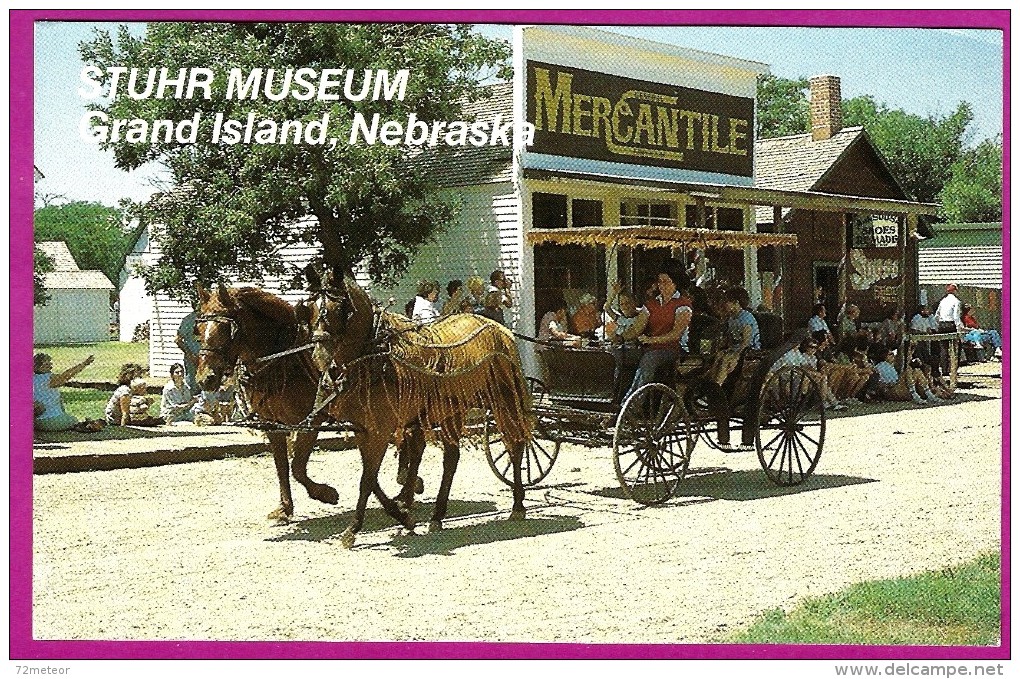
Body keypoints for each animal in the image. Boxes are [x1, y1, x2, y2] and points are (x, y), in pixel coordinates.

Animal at [191, 279, 410, 521]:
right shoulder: (272, 424)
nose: (205, 378)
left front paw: (325, 493)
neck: (283, 359)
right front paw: (285, 507)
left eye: (226, 330)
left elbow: (297, 466)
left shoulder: (311, 421)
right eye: (198, 331)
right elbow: (281, 466)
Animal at [297, 267, 530, 546]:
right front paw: (402, 513)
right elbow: (371, 478)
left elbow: (367, 479)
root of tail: (500, 330)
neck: (375, 354)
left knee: (515, 446)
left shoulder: (380, 430)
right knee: (451, 459)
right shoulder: (364, 428)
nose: (319, 356)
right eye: (310, 307)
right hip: (453, 410)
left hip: (504, 401)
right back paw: (437, 515)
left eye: (337, 307)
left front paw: (354, 528)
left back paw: (518, 504)